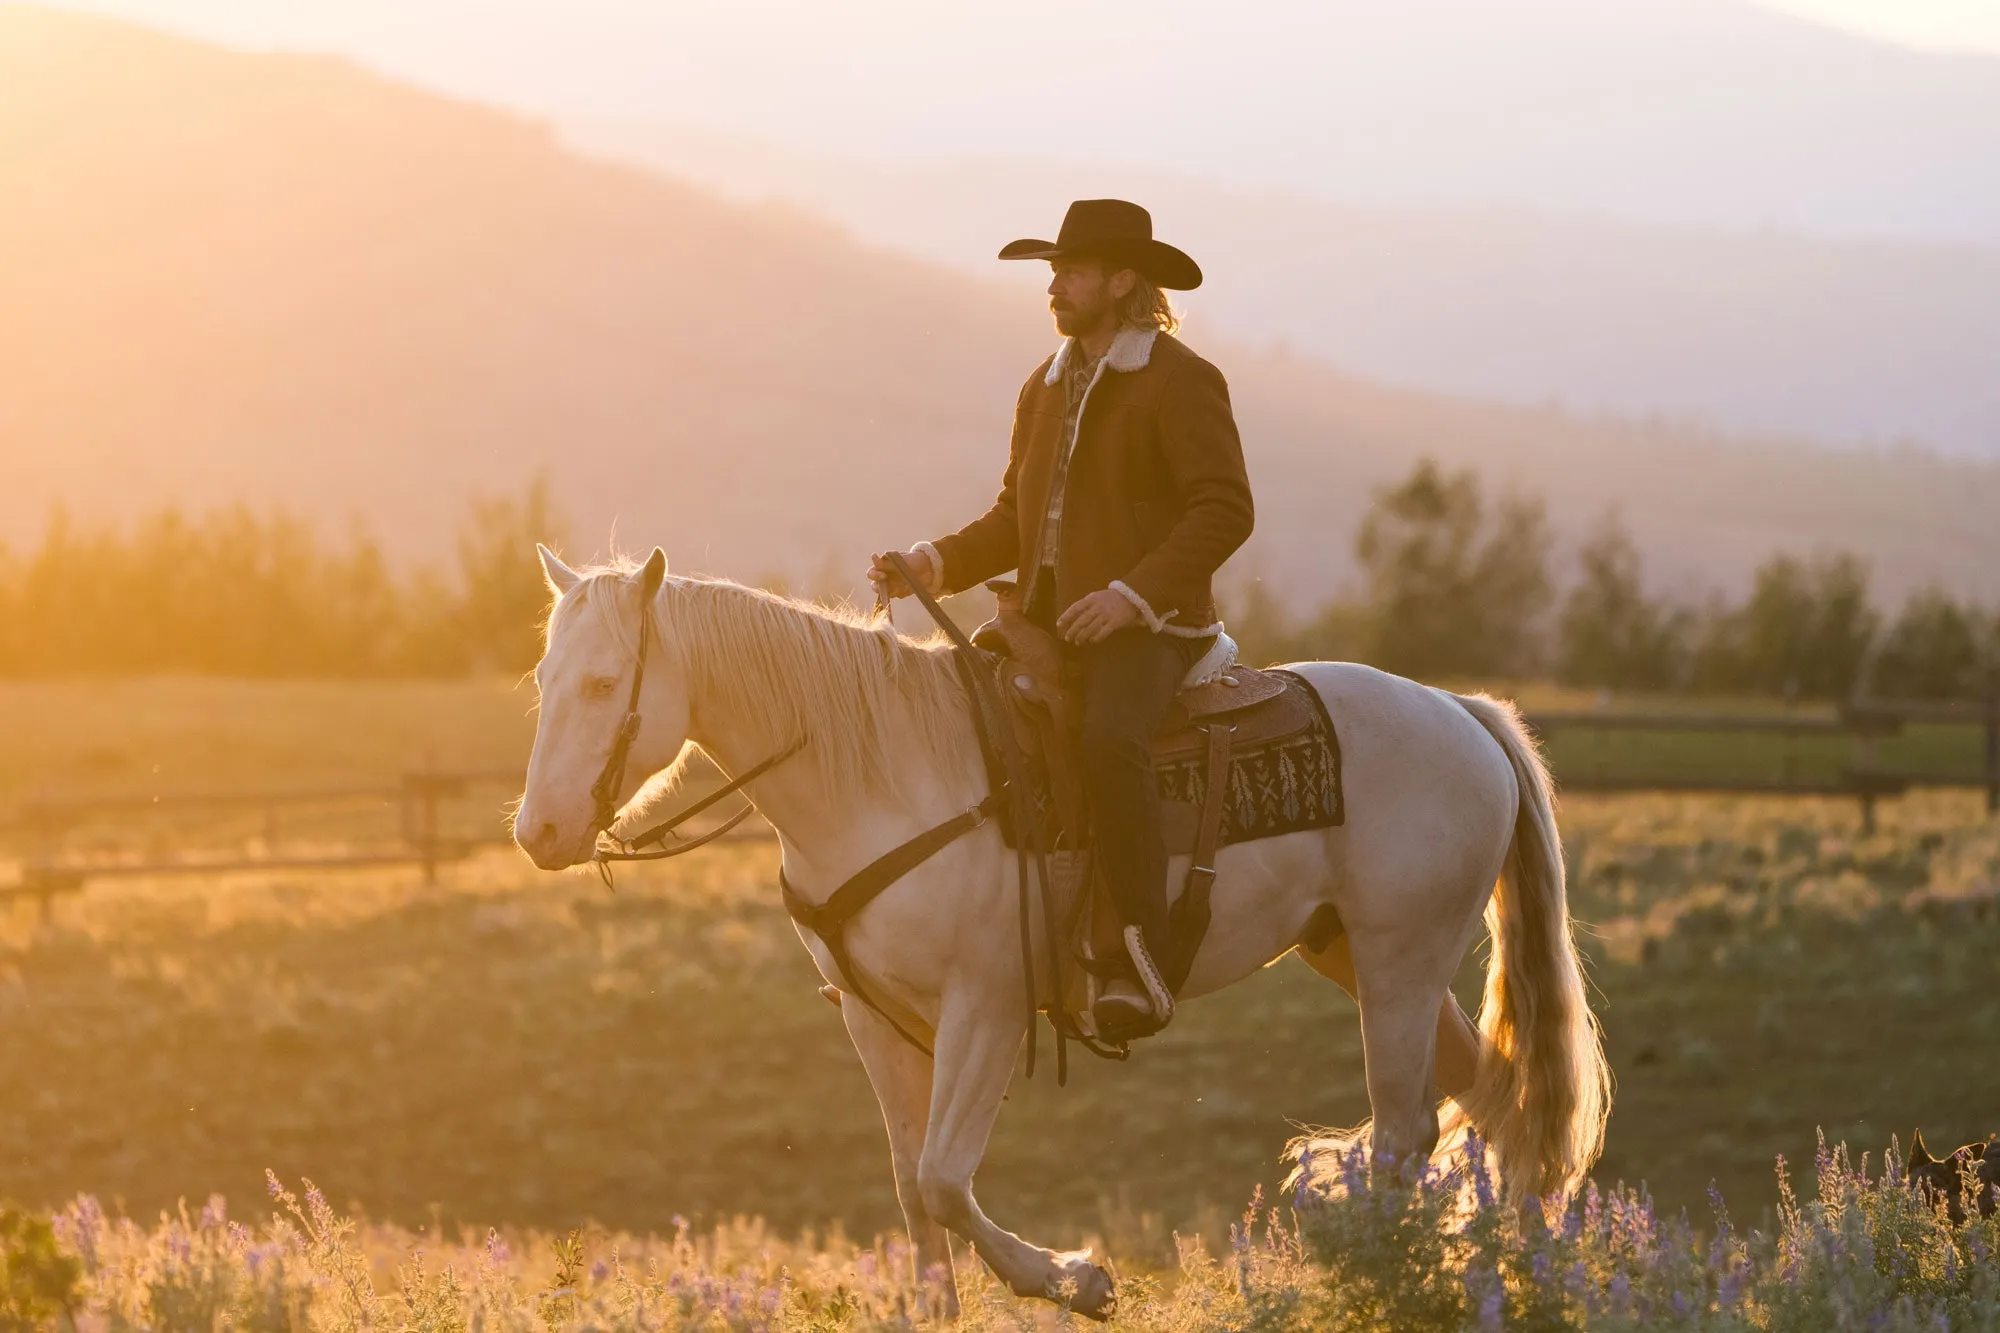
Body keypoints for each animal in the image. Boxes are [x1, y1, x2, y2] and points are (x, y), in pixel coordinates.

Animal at [516, 544, 1608, 1312]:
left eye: (605, 685)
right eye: (541, 680)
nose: (539, 832)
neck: (881, 773)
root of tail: (1461, 711)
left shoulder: (987, 1007)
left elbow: (947, 1180)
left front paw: (1074, 1277)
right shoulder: (870, 1016)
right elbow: (914, 1193)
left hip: (1398, 961)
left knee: (1405, 1130)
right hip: (1353, 951)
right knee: (1497, 1095)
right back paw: (1511, 1271)